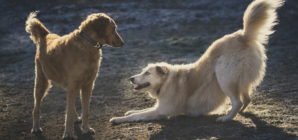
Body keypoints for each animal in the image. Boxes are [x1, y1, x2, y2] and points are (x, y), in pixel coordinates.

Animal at [110, 0, 284, 122]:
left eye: (147, 73)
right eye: (142, 71)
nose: (131, 78)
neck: (167, 82)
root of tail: (242, 34)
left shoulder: (162, 111)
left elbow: (136, 116)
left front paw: (117, 119)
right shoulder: (158, 107)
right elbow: (139, 111)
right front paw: (129, 111)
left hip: (224, 77)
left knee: (237, 101)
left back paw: (227, 118)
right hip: (239, 79)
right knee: (246, 98)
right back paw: (238, 113)